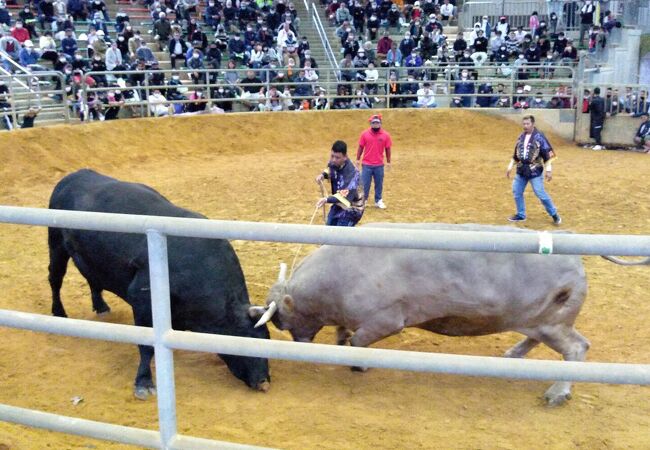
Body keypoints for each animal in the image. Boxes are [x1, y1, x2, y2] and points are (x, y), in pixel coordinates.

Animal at [48, 169, 270, 398]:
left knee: (92, 278)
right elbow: (147, 346)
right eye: (247, 341)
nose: (263, 382)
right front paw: (144, 381)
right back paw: (59, 313)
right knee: (55, 279)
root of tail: (74, 176)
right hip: (56, 244)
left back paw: (101, 307)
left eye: (267, 337)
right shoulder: (143, 301)